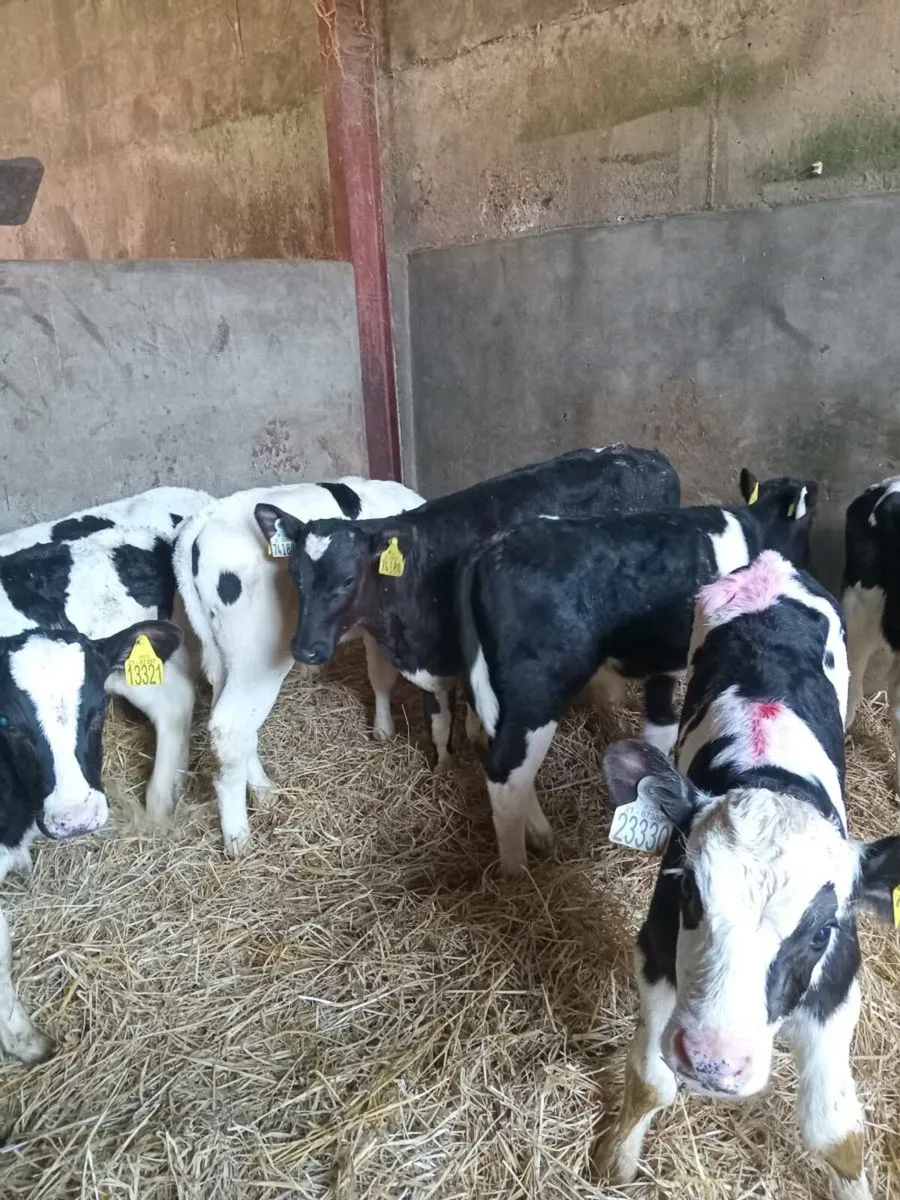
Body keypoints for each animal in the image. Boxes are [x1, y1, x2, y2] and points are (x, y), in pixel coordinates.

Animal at [172, 476, 424, 857]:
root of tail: (208, 515)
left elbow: (378, 675)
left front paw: (382, 728)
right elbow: (383, 673)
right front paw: (386, 729)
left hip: (225, 658)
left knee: (233, 725)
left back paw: (263, 791)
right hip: (258, 657)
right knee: (230, 726)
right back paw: (238, 836)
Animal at [256, 445, 681, 797]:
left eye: (347, 580)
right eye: (294, 573)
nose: (304, 649)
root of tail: (640, 454)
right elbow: (440, 723)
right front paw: (445, 766)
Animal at [457, 471, 817, 873]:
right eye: (810, 519)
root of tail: (491, 548)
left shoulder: (666, 662)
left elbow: (659, 725)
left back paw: (537, 834)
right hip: (536, 692)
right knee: (506, 777)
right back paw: (518, 871)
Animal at [595, 550, 900, 1200]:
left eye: (821, 931)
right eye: (689, 894)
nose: (713, 1062)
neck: (772, 776)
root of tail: (772, 564)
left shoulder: (838, 988)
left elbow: (835, 1133)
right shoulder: (654, 952)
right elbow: (652, 1080)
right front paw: (616, 1160)